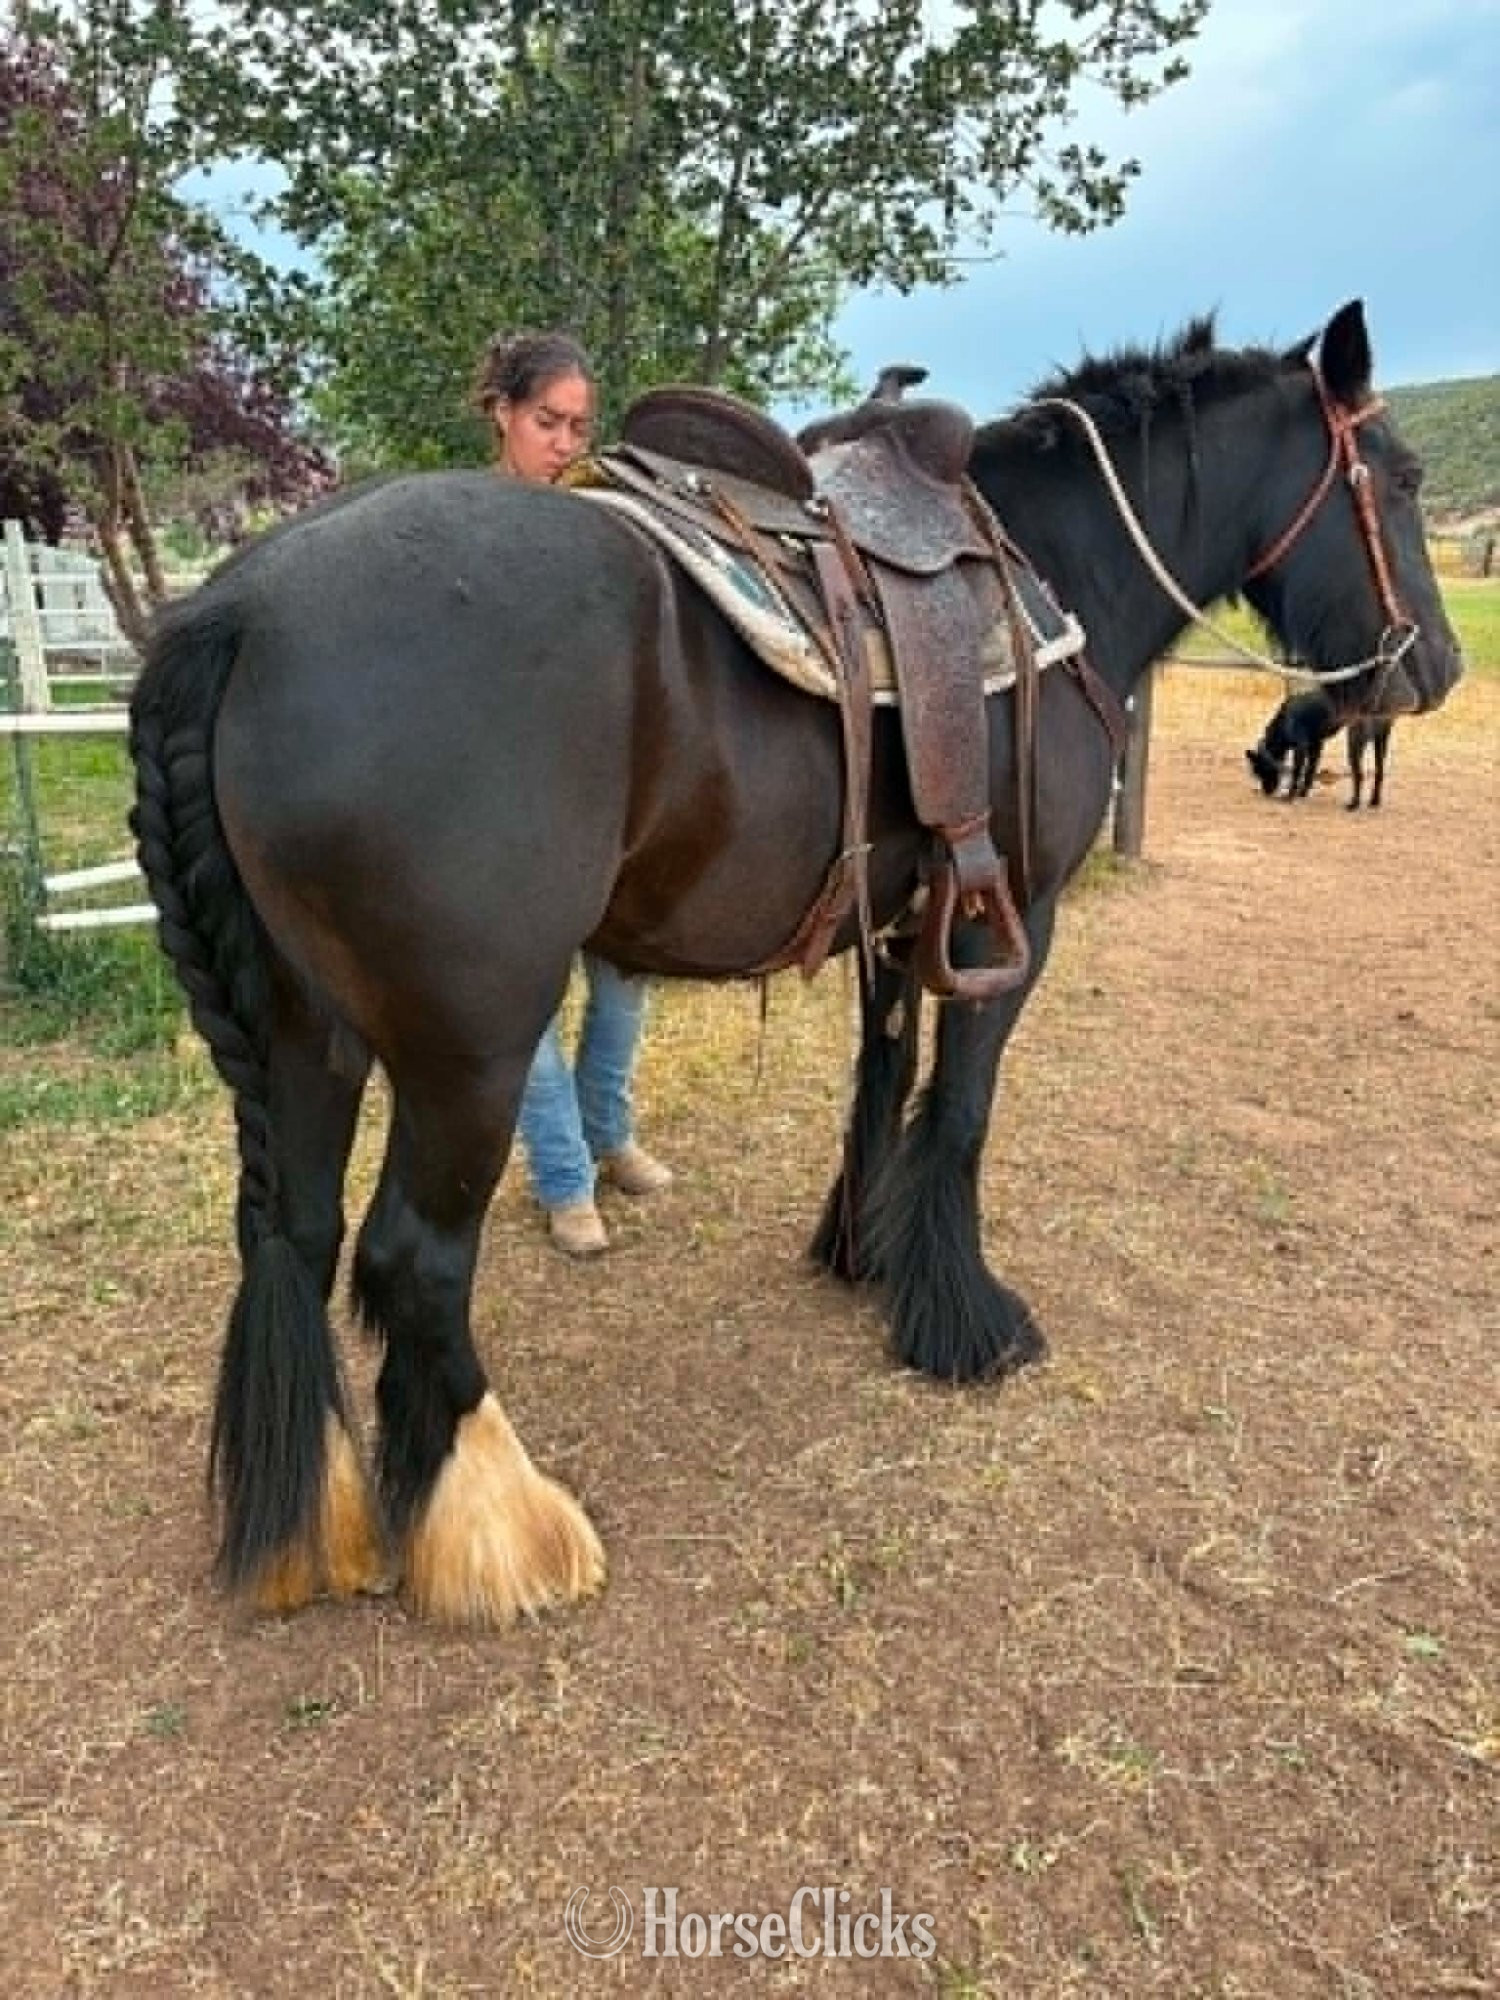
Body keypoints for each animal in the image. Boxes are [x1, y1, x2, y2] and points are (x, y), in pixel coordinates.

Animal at [128, 298, 1461, 1627]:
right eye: (1401, 477)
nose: (1437, 666)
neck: (1053, 565)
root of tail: (235, 612)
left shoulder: (902, 914)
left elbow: (881, 1084)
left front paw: (863, 1254)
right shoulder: (1013, 919)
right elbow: (959, 1111)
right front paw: (966, 1320)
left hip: (305, 1026)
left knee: (291, 1231)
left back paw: (316, 1529)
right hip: (475, 1046)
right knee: (412, 1258)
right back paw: (505, 1529)